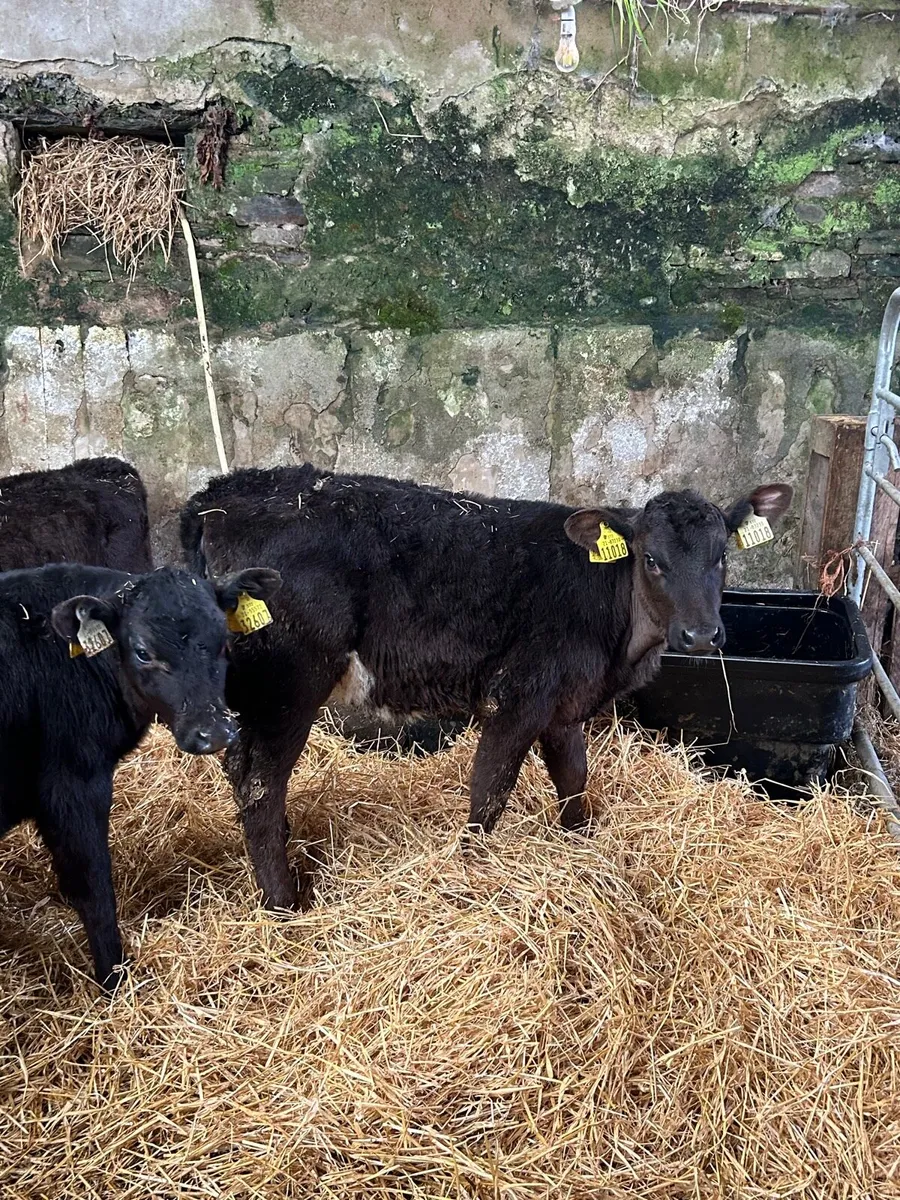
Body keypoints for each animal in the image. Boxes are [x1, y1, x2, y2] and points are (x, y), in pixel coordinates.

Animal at [0, 561, 280, 988]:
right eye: (143, 652)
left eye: (222, 641)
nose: (214, 732)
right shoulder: (73, 786)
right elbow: (93, 888)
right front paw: (114, 978)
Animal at [180, 465, 792, 911]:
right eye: (652, 559)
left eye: (722, 555)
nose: (701, 634)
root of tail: (219, 495)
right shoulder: (517, 698)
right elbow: (489, 790)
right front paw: (472, 867)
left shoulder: (565, 706)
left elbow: (574, 783)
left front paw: (580, 847)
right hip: (289, 684)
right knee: (261, 789)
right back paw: (286, 903)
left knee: (242, 774)